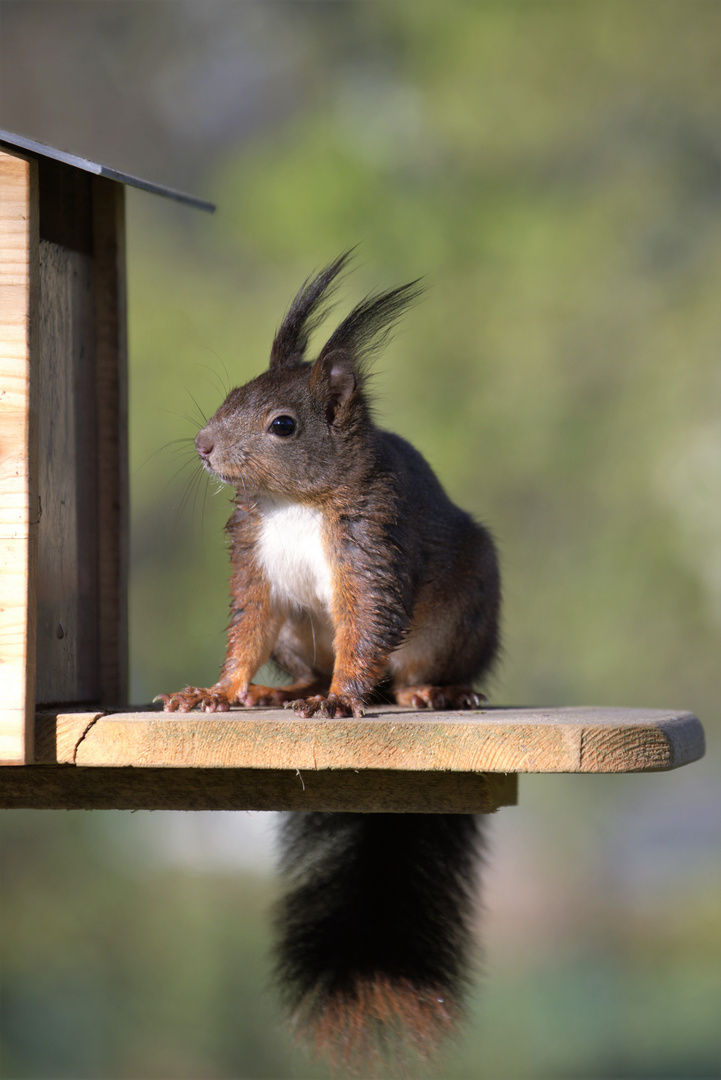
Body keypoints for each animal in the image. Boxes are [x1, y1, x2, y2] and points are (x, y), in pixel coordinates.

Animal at [158, 254, 500, 1071]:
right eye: (230, 397)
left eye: (283, 424)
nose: (203, 446)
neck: (291, 502)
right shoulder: (253, 568)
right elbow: (245, 631)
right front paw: (216, 692)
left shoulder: (370, 549)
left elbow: (365, 628)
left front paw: (345, 699)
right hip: (297, 634)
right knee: (299, 657)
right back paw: (283, 692)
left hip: (464, 610)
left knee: (410, 671)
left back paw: (432, 693)